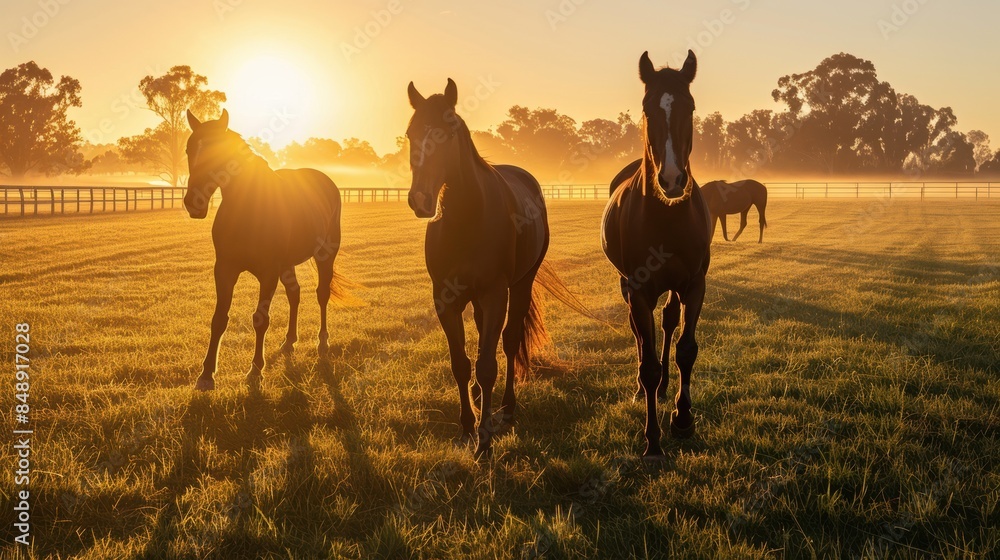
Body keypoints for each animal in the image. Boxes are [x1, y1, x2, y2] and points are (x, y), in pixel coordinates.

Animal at [183, 109, 345, 391]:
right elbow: (219, 318)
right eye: (188, 150)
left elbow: (260, 319)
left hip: (326, 255)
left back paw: (322, 341)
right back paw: (290, 340)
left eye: (218, 152)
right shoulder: (224, 269)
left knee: (322, 294)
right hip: (287, 264)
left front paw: (256, 369)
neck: (248, 207)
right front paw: (206, 374)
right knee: (294, 293)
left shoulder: (268, 274)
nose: (194, 203)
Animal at [406, 78, 588, 458]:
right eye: (410, 134)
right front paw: (466, 427)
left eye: (448, 133)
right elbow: (461, 364)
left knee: (510, 343)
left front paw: (485, 440)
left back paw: (506, 410)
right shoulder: (445, 299)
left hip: (519, 287)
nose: (421, 200)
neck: (465, 220)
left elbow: (488, 366)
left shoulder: (494, 295)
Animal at [602, 50, 711, 457]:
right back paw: (644, 390)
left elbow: (686, 349)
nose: (672, 179)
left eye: (689, 106)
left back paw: (666, 389)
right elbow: (647, 360)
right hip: (629, 289)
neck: (667, 217)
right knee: (641, 335)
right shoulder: (639, 290)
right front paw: (652, 440)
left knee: (667, 323)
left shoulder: (694, 285)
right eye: (648, 108)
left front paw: (682, 419)